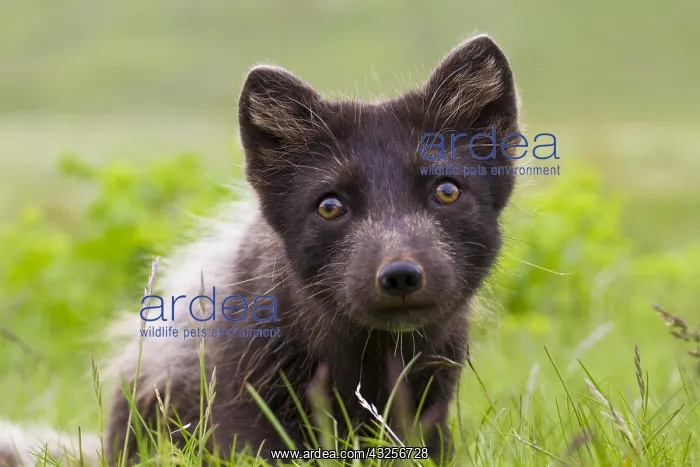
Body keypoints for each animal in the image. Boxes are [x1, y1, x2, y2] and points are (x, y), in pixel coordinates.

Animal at [0, 34, 520, 465]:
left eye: (446, 191)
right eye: (330, 206)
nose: (400, 275)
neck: (366, 360)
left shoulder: (432, 400)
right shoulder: (245, 404)